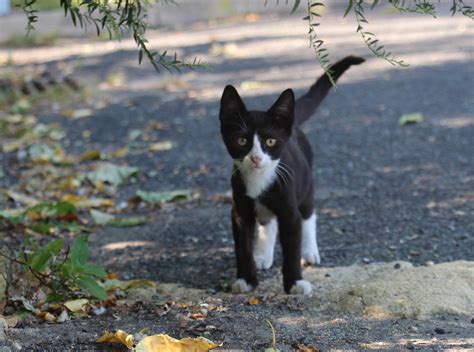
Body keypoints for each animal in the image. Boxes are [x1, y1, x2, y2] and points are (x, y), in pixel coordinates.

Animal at [220, 55, 364, 294]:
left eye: (270, 141)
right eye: (241, 140)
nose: (256, 158)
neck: (259, 181)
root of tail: (292, 122)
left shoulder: (289, 211)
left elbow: (292, 248)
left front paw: (295, 283)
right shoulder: (240, 212)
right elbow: (243, 247)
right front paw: (246, 279)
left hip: (306, 184)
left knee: (309, 215)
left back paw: (310, 251)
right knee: (268, 223)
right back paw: (263, 255)